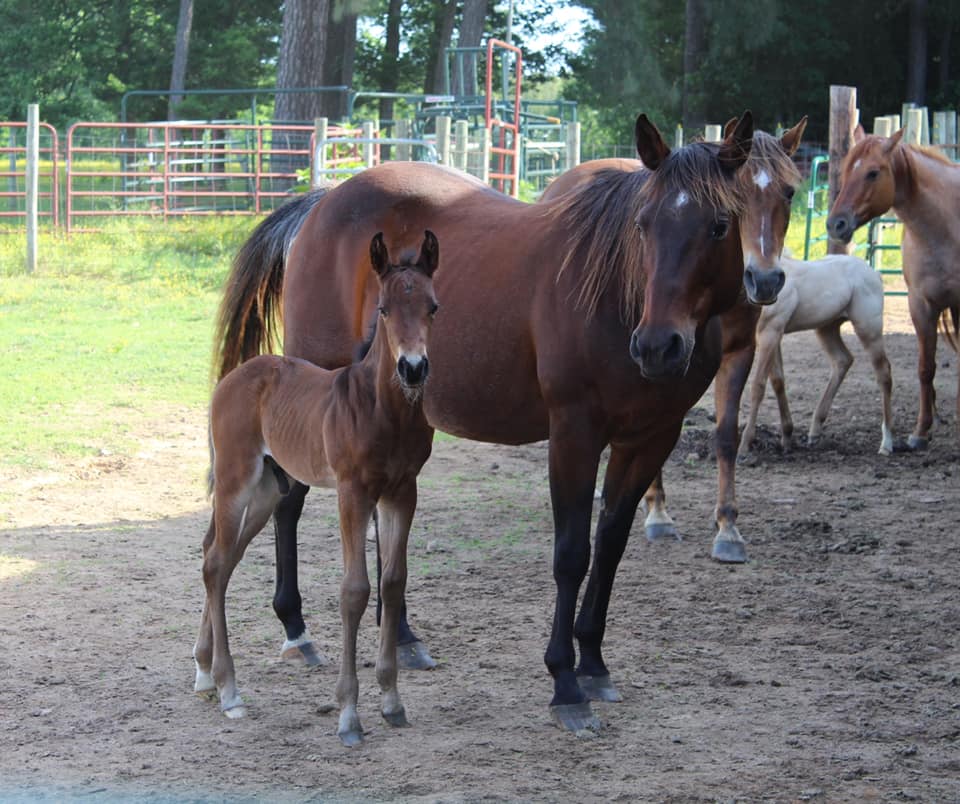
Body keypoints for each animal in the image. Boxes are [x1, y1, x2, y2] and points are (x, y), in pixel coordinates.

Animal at [192, 229, 438, 744]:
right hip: (235, 482)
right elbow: (355, 590)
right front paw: (349, 715)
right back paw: (229, 690)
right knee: (217, 562)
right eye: (384, 309)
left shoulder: (402, 491)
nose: (413, 368)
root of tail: (232, 378)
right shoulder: (352, 491)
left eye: (433, 307)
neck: (382, 409)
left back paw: (204, 672)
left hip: (268, 490)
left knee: (218, 557)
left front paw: (392, 701)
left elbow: (393, 582)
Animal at [544, 122, 808, 564]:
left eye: (788, 192)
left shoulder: (741, 352)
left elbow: (726, 436)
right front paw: (658, 512)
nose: (765, 279)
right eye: (737, 197)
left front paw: (728, 527)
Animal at [740, 256, 896, 458]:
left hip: (869, 329)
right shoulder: (773, 335)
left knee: (883, 373)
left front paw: (744, 445)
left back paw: (886, 443)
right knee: (843, 360)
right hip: (827, 328)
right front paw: (787, 439)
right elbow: (777, 381)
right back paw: (814, 432)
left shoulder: (770, 331)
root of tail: (874, 273)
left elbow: (758, 386)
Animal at [824, 129, 960, 450]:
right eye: (846, 169)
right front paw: (920, 431)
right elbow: (926, 368)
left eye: (873, 173)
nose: (836, 224)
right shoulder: (921, 305)